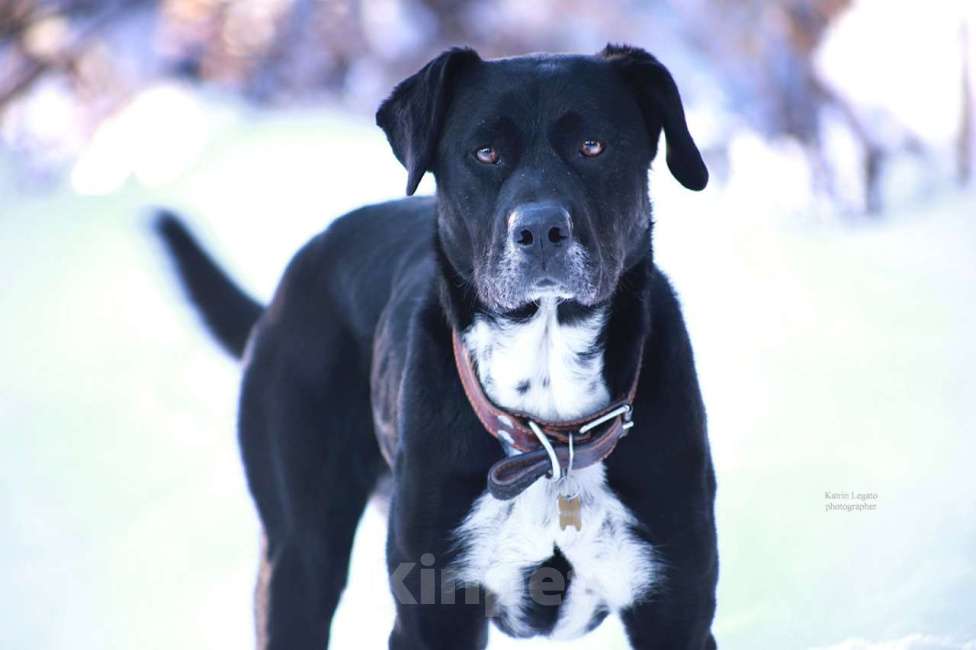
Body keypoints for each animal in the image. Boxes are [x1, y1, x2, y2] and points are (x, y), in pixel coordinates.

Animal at [154, 43, 716, 644]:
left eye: (593, 146)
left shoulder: (676, 609)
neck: (551, 436)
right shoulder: (432, 609)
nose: (540, 231)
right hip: (299, 552)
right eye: (486, 153)